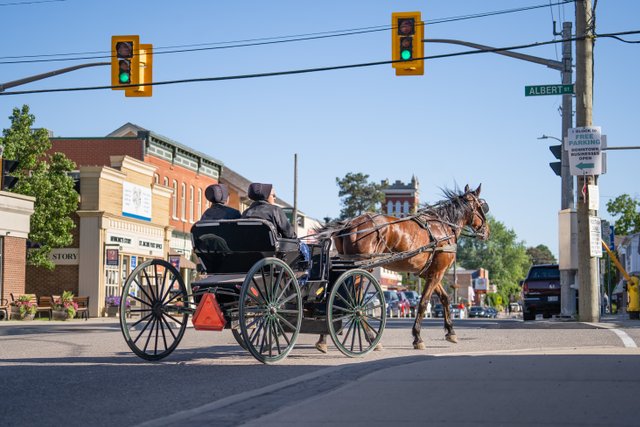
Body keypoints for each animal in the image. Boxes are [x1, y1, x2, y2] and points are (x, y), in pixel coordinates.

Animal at [316, 184, 490, 352]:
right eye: (482, 206)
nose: (487, 231)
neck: (443, 227)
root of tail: (349, 224)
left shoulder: (430, 273)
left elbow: (445, 298)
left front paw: (451, 332)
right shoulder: (437, 273)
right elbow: (423, 302)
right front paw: (417, 337)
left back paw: (323, 339)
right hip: (362, 269)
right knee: (354, 302)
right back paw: (371, 337)